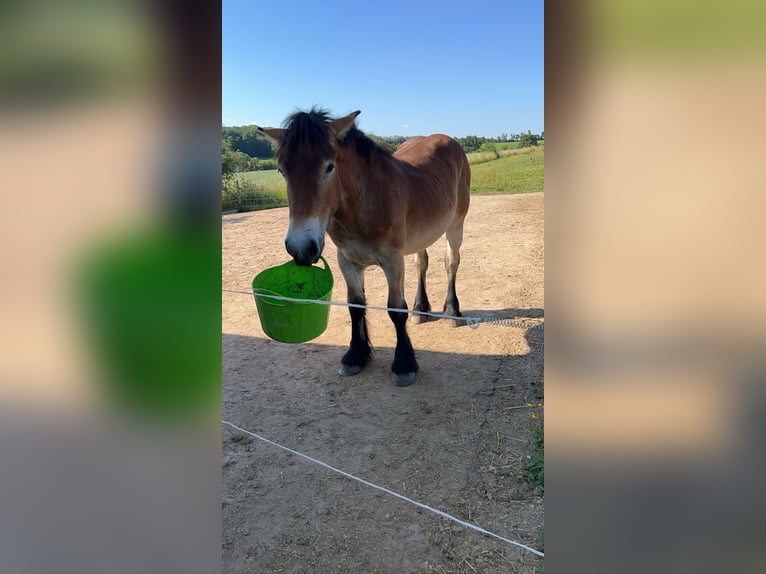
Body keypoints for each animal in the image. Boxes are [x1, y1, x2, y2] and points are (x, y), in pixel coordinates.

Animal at [258, 109, 472, 388]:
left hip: (456, 225)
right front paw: (355, 356)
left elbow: (396, 309)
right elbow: (355, 306)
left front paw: (404, 365)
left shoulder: (392, 261)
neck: (365, 201)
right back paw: (420, 309)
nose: (301, 247)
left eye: (329, 166)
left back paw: (452, 311)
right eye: (282, 170)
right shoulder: (347, 261)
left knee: (451, 263)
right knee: (421, 264)